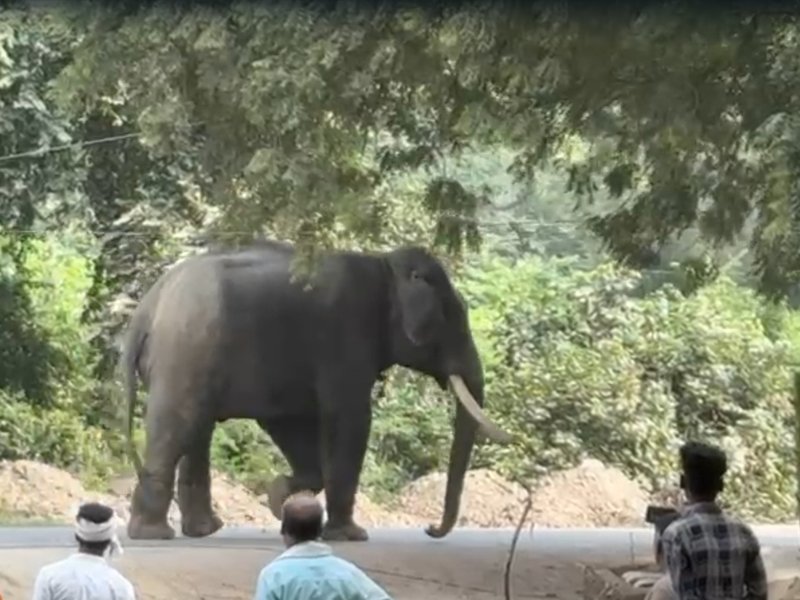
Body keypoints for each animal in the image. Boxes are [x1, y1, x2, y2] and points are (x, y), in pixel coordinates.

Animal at [120, 239, 512, 542]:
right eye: (454, 317)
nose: (430, 529)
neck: (384, 264)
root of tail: (145, 309)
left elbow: (290, 422)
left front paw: (278, 499)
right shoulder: (346, 336)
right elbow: (350, 419)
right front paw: (350, 536)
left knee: (196, 431)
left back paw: (203, 530)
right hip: (186, 352)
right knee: (178, 426)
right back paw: (154, 534)